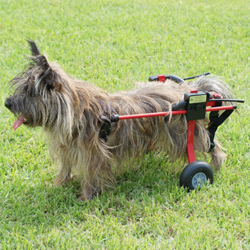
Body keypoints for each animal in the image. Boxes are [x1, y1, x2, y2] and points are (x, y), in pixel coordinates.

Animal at [4, 41, 233, 200]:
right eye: (22, 89)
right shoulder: (69, 149)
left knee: (209, 144)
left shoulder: (93, 153)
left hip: (186, 133)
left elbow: (91, 175)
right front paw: (58, 184)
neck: (74, 112)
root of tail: (190, 91)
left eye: (30, 92)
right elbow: (65, 168)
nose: (7, 103)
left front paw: (85, 196)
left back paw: (214, 165)